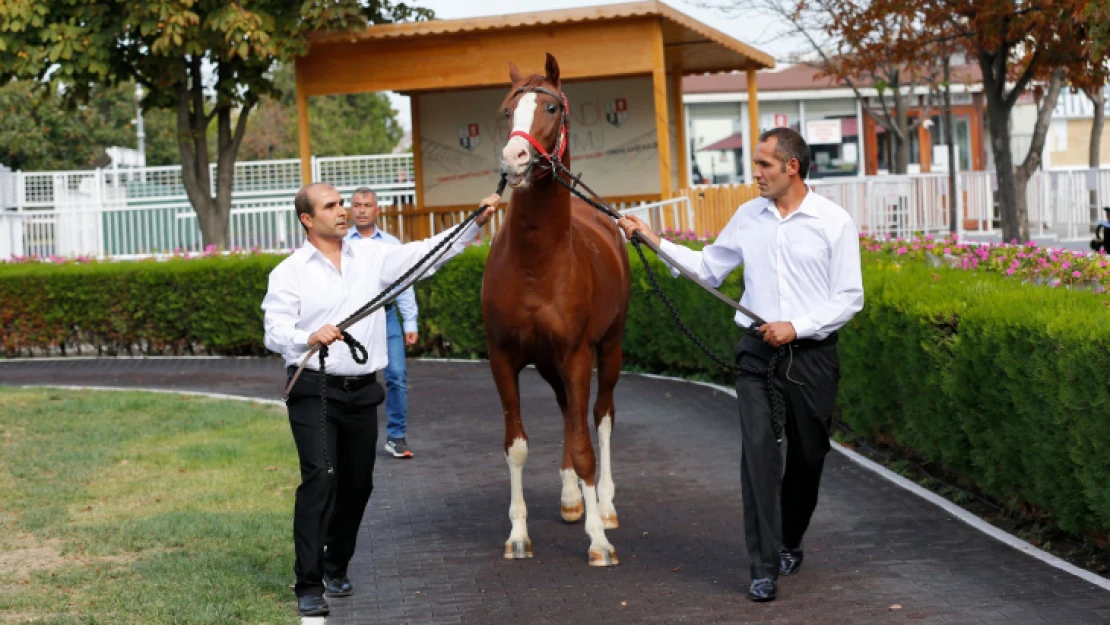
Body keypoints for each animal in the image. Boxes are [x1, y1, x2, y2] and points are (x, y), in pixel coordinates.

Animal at [479, 53, 630, 568]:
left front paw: (599, 541)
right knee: (569, 412)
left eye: (550, 107)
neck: (536, 265)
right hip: (549, 362)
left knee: (599, 417)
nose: (514, 160)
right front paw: (518, 535)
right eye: (507, 110)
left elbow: (586, 446)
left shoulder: (579, 354)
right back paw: (571, 499)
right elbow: (516, 446)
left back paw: (604, 506)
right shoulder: (504, 357)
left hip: (609, 347)